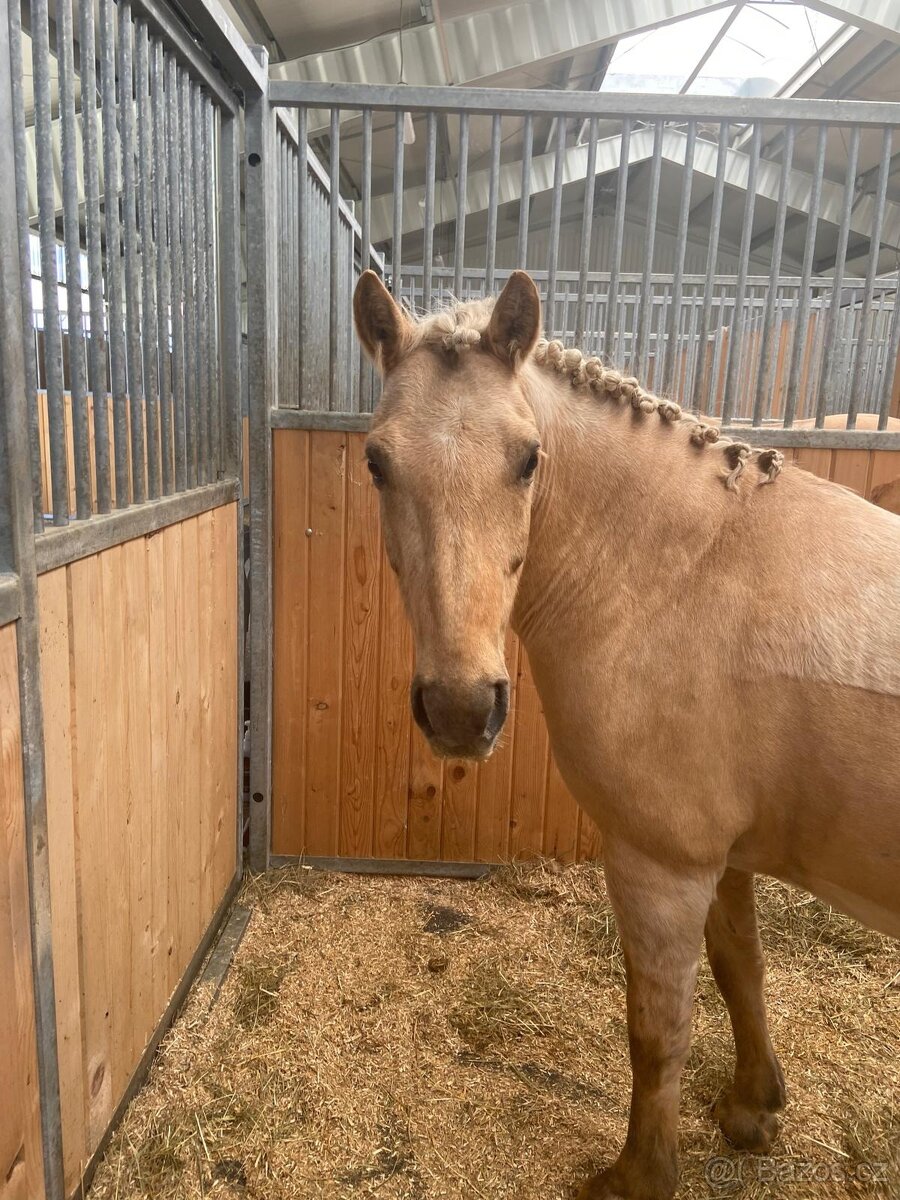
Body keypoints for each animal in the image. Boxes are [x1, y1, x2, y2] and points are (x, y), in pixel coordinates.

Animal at [352, 268, 900, 1200]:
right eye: (376, 462)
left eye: (527, 458)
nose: (461, 708)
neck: (684, 574)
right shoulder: (721, 856)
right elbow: (741, 968)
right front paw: (752, 1107)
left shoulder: (661, 863)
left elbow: (656, 1029)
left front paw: (639, 1176)